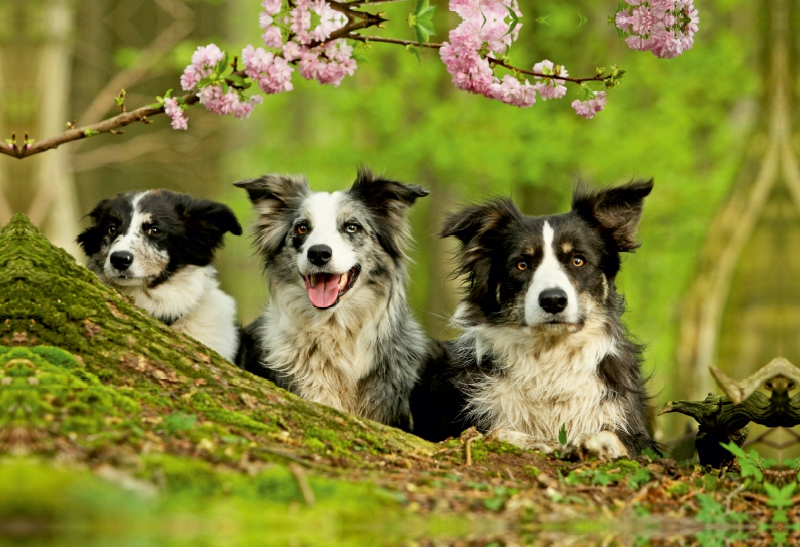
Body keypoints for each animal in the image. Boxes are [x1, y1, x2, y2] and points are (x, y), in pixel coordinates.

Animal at [410, 180, 660, 458]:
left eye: (578, 260)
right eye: (521, 264)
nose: (553, 301)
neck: (549, 357)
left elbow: (619, 438)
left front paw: (596, 441)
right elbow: (497, 432)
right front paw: (537, 441)